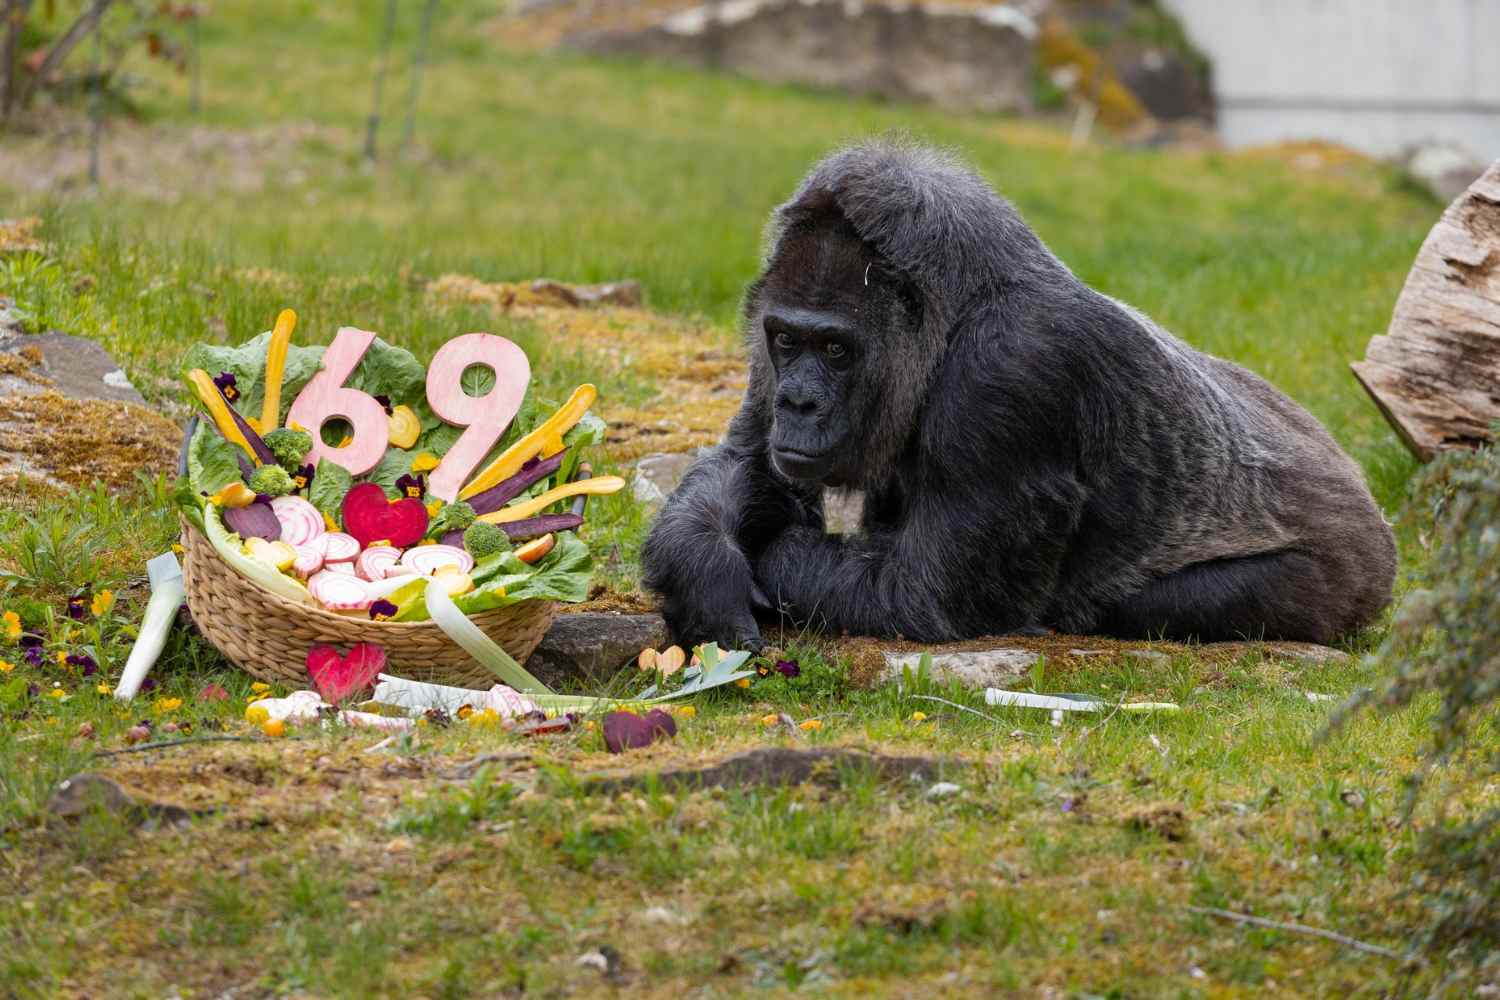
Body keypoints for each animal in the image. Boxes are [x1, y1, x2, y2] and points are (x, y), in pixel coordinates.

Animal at [641, 138, 1396, 650]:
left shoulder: (1011, 373)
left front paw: (768, 557)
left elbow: (919, 597)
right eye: (787, 342)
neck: (954, 313)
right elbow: (750, 462)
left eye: (835, 349)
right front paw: (706, 571)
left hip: (1351, 578)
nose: (798, 403)